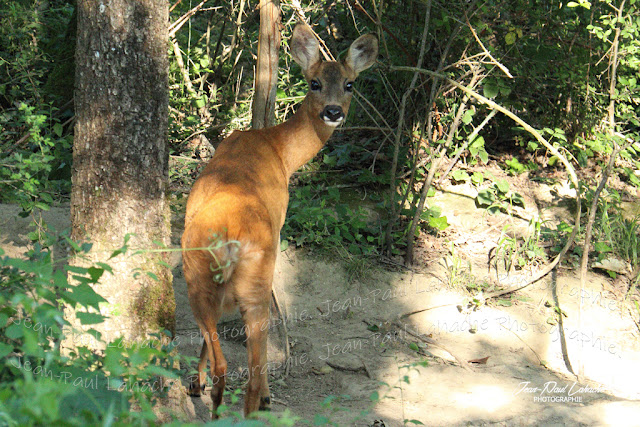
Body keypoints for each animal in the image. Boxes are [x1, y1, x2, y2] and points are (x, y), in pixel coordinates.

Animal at [180, 24, 378, 418]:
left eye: (349, 83)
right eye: (315, 82)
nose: (333, 111)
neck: (280, 150)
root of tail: (229, 241)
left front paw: (196, 382)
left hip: (196, 276)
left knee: (220, 352)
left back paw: (206, 391)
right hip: (256, 277)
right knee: (249, 368)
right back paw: (260, 400)